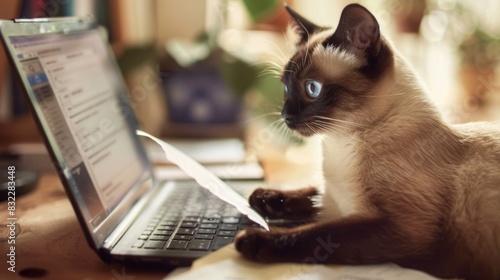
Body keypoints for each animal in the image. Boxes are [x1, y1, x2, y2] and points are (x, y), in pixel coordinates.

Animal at [234, 2, 500, 280]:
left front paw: (254, 239)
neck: (338, 144)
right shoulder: (334, 200)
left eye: (312, 89)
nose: (285, 116)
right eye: (285, 88)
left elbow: (316, 234)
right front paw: (263, 197)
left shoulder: (400, 226)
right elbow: (308, 192)